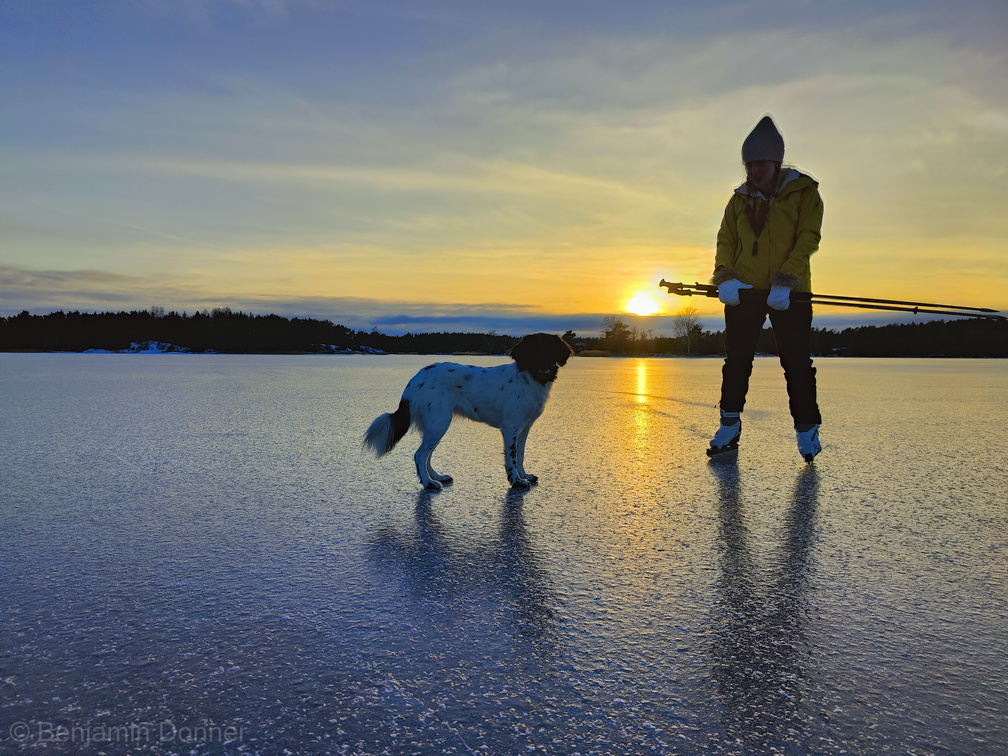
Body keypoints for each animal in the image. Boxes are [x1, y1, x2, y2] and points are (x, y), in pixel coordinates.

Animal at [366, 332, 580, 491]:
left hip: (436, 425)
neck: (529, 378)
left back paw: (437, 477)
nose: (544, 362)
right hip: (439, 422)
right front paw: (516, 481)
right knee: (420, 455)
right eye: (534, 350)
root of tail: (415, 379)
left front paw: (524, 475)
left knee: (427, 455)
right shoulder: (510, 427)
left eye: (550, 349)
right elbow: (511, 458)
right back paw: (428, 483)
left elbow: (520, 454)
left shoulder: (525, 427)